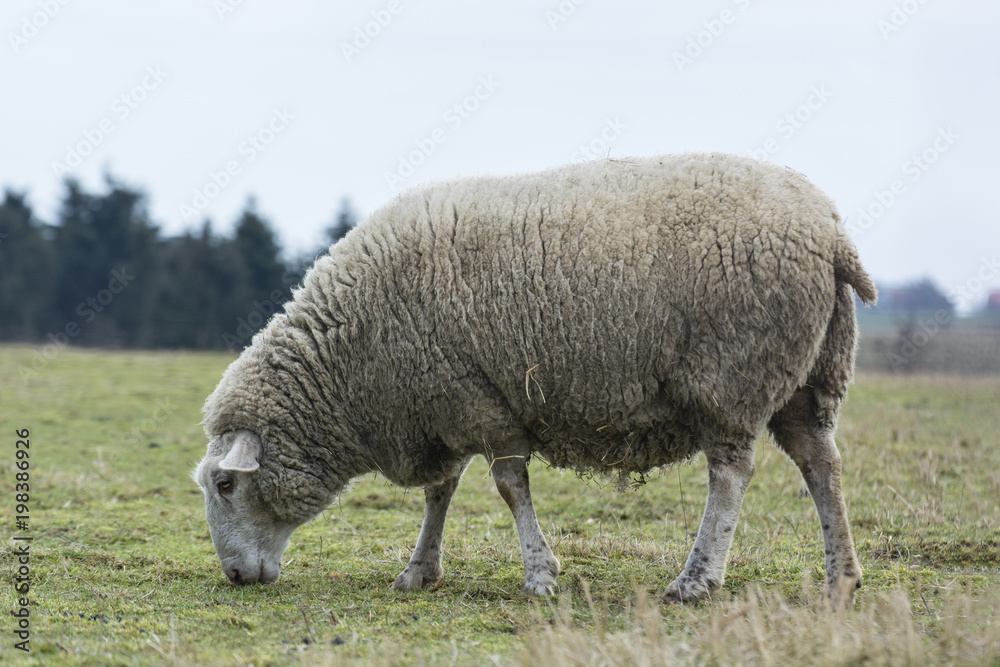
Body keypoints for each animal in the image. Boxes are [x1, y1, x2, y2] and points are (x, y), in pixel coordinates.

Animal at [193, 153, 876, 604]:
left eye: (226, 484)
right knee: (823, 464)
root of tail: (831, 232)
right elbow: (440, 492)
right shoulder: (447, 403)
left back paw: (696, 579)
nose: (234, 577)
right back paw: (841, 577)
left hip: (731, 374)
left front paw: (540, 574)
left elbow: (507, 488)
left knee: (731, 476)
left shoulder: (480, 404)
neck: (350, 364)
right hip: (807, 377)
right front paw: (420, 571)